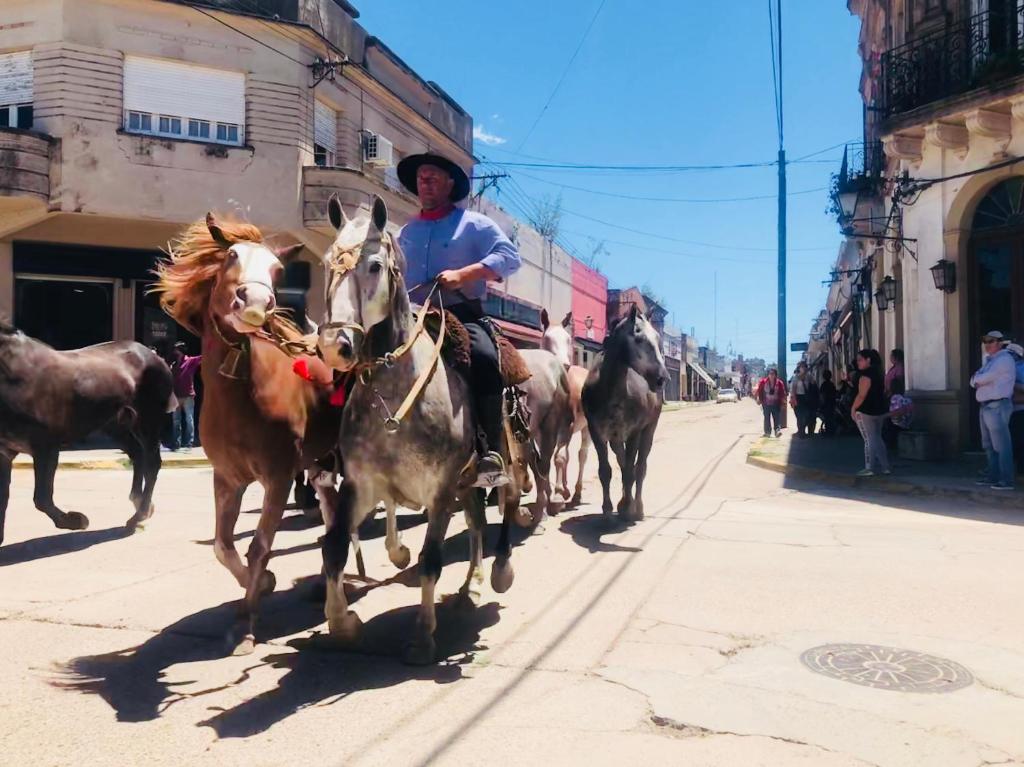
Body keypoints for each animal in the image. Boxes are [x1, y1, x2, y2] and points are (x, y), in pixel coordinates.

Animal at [0, 319, 175, 544]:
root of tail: (154, 355)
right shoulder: (4, 453)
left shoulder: (46, 446)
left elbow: (42, 498)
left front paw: (77, 520)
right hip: (115, 425)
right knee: (138, 455)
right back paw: (139, 502)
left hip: (147, 420)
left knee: (152, 463)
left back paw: (138, 515)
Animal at [155, 215, 337, 651]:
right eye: (231, 257)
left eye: (278, 269)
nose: (255, 303)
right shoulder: (227, 479)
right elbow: (223, 546)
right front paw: (262, 585)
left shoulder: (279, 477)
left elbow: (260, 546)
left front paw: (247, 621)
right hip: (320, 463)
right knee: (334, 513)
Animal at [315, 192, 516, 663]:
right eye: (328, 261)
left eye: (374, 266)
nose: (335, 346)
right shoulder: (361, 487)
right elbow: (335, 549)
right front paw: (343, 623)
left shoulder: (439, 492)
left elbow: (430, 561)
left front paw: (423, 636)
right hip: (466, 485)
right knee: (477, 522)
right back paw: (468, 588)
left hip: (505, 465)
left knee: (503, 512)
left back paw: (497, 573)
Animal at [581, 303, 667, 524]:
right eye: (638, 337)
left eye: (658, 339)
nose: (662, 378)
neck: (610, 390)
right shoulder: (597, 433)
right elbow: (606, 471)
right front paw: (608, 511)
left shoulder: (635, 432)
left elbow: (631, 471)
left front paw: (628, 508)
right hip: (616, 438)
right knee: (622, 462)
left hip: (648, 430)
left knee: (640, 467)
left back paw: (637, 508)